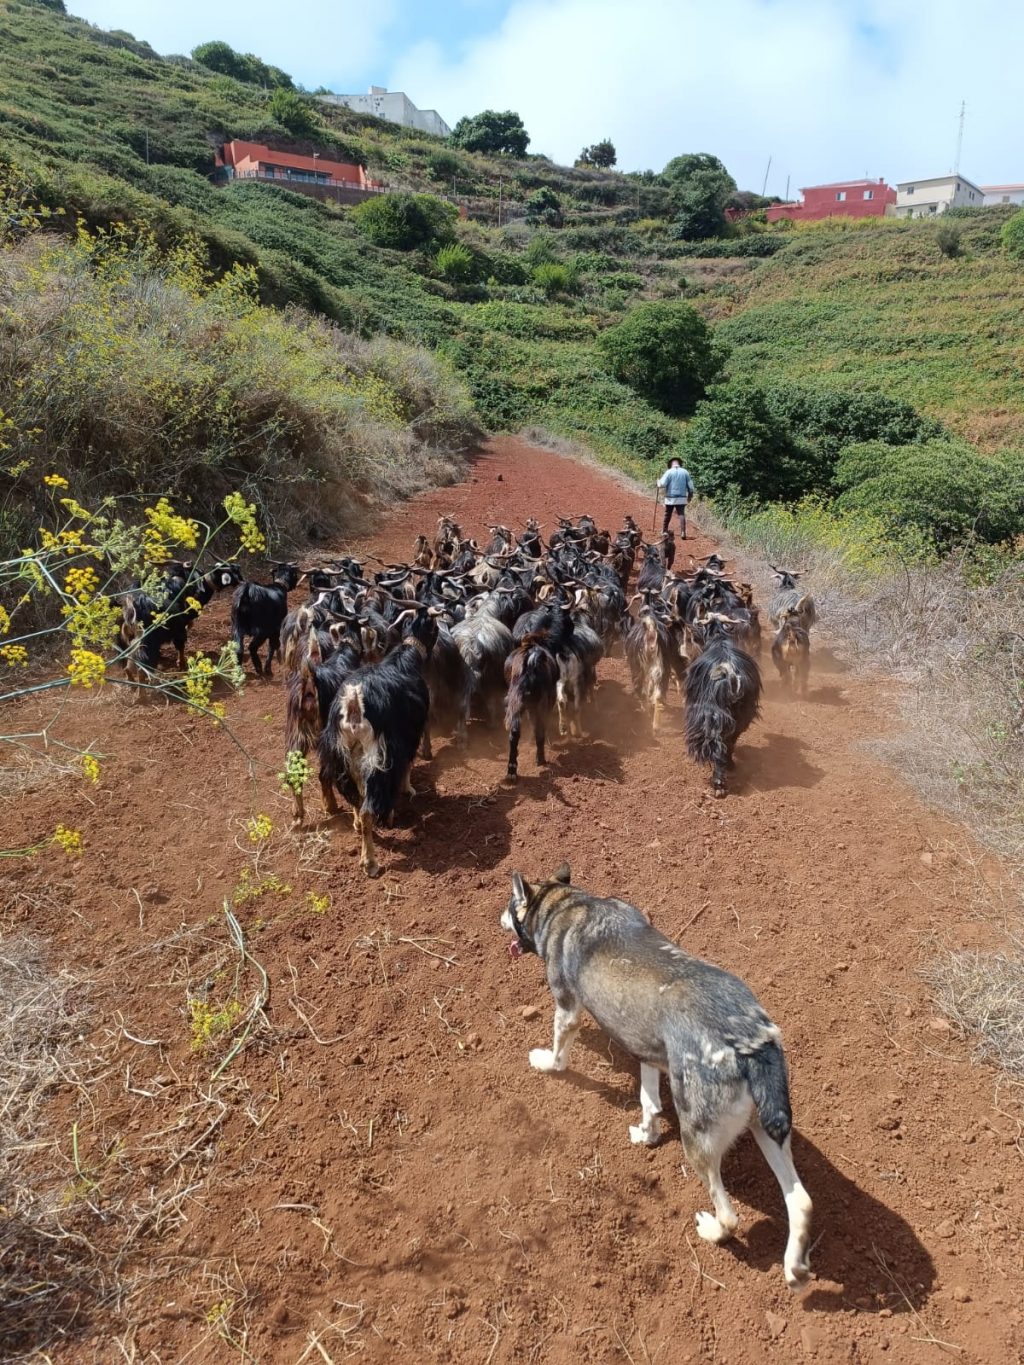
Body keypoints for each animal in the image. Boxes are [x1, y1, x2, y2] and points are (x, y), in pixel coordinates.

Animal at [502, 862, 813, 1288]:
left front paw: (545, 1062)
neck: (568, 903)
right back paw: (794, 1267)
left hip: (697, 1140)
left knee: (731, 1216)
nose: (498, 918)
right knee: (801, 1200)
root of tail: (749, 1041)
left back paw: (713, 1230)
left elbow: (559, 1054)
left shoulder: (566, 1008)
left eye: (508, 904)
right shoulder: (646, 1050)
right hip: (765, 1128)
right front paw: (646, 1134)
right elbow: (649, 1102)